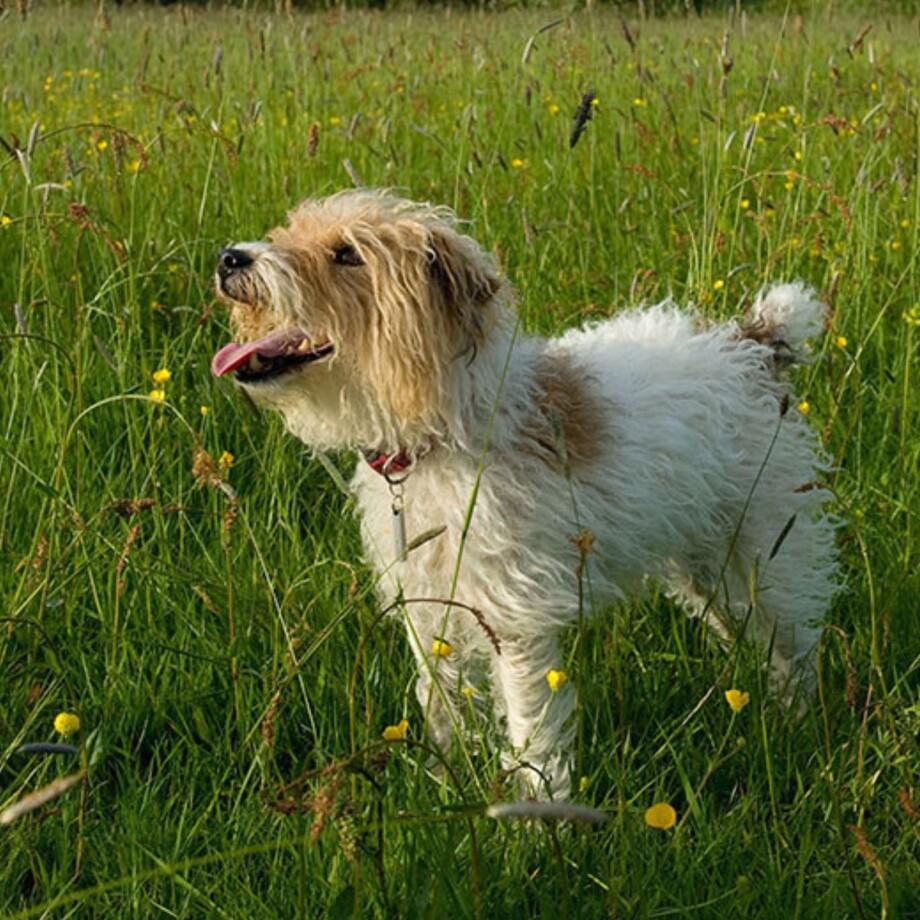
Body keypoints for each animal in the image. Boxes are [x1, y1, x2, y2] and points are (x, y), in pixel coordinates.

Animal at [212, 189, 836, 796]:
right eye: (289, 231)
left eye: (347, 254)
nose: (230, 258)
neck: (445, 433)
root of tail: (753, 345)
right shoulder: (431, 608)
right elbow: (442, 704)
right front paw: (446, 779)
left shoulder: (514, 619)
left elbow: (530, 721)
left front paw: (539, 806)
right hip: (705, 565)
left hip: (761, 548)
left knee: (795, 644)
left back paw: (802, 725)